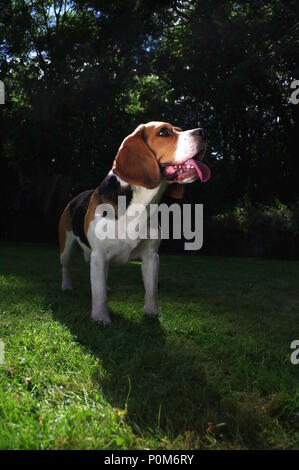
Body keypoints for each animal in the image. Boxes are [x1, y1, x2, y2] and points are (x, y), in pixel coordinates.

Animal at [58, 122, 211, 324]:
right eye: (164, 132)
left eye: (179, 129)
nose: (203, 132)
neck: (139, 204)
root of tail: (76, 197)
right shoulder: (99, 254)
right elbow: (98, 292)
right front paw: (100, 318)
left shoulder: (151, 256)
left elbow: (151, 290)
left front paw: (152, 313)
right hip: (66, 247)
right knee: (66, 266)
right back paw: (66, 286)